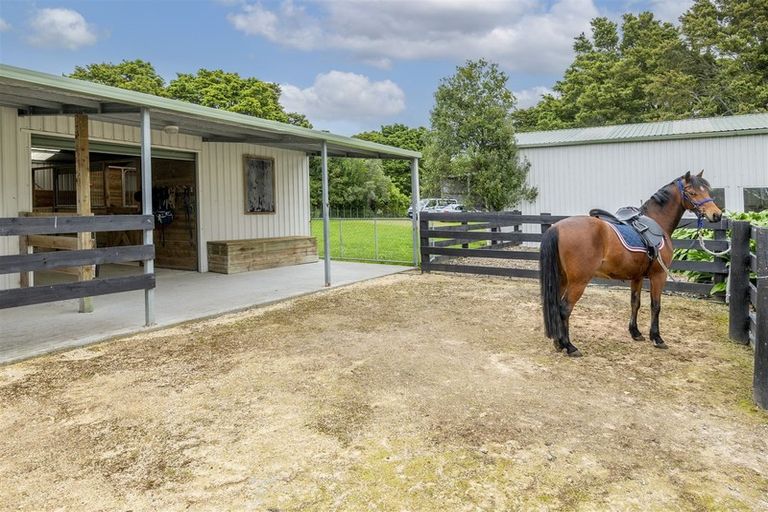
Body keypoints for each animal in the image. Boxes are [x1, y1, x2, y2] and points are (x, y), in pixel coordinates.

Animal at [536, 172, 724, 356]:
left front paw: (635, 333)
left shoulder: (637, 277)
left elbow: (635, 303)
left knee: (555, 306)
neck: (657, 223)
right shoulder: (659, 276)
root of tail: (556, 228)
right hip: (578, 282)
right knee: (564, 308)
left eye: (707, 191)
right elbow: (656, 306)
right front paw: (657, 338)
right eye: (692, 192)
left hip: (562, 279)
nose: (717, 215)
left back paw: (558, 343)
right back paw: (569, 346)